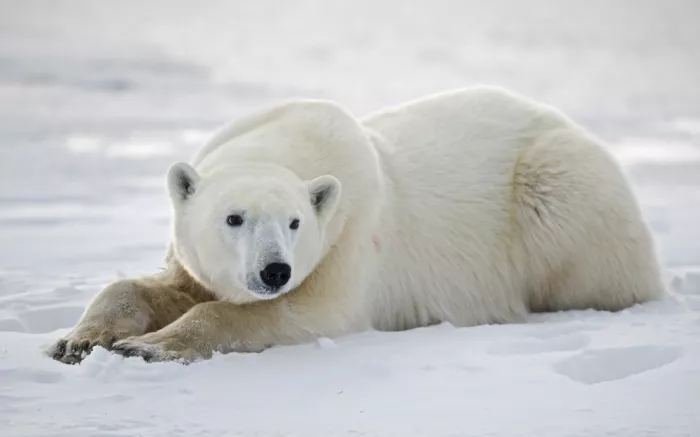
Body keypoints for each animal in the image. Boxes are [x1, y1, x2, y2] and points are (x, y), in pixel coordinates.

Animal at [48, 86, 665, 364]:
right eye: (233, 218)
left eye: (295, 222)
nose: (274, 271)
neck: (298, 138)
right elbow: (168, 285)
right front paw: (78, 340)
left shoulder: (350, 232)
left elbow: (304, 313)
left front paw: (147, 347)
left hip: (558, 186)